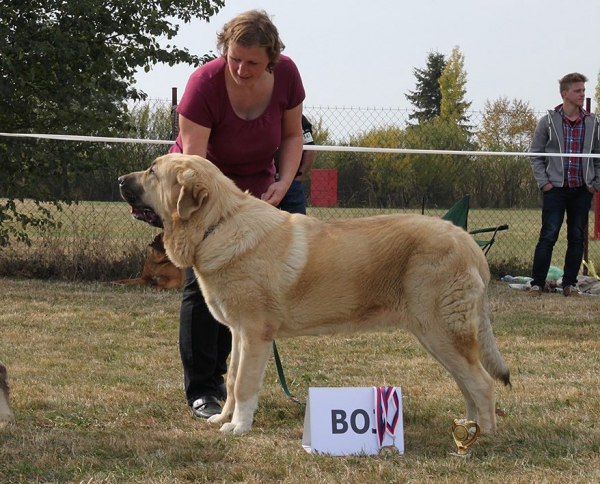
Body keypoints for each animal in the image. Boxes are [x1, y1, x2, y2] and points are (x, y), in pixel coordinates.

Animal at [118, 155, 510, 434]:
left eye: (152, 172)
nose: (120, 180)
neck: (218, 225)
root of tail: (466, 241)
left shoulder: (256, 335)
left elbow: (244, 384)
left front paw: (239, 427)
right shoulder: (239, 334)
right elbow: (230, 379)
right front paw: (224, 418)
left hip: (443, 333)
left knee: (482, 383)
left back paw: (481, 435)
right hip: (439, 339)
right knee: (468, 383)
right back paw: (469, 425)